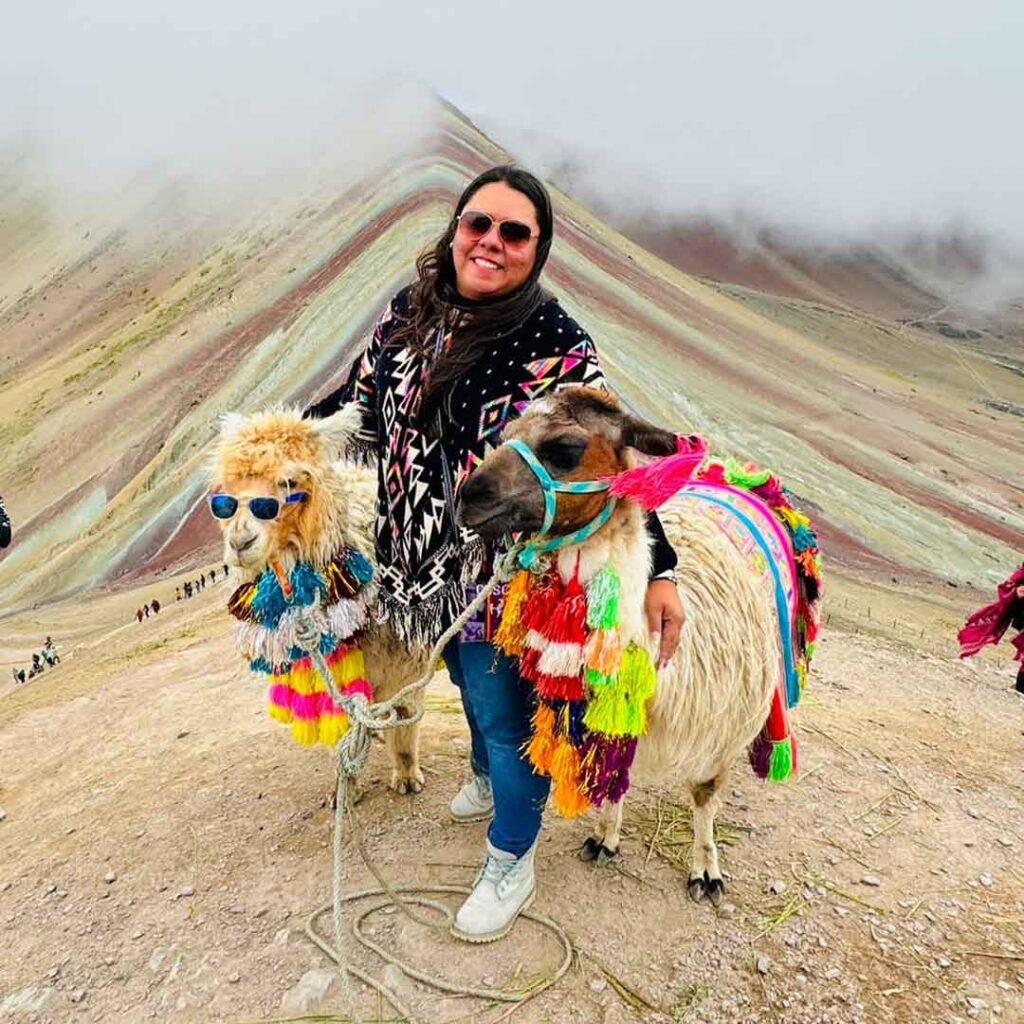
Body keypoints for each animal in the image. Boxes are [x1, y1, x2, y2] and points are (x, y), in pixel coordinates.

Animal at [209, 405, 429, 794]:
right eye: (226, 498)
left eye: (289, 482)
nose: (240, 542)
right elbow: (342, 726)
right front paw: (346, 787)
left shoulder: (406, 661)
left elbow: (405, 716)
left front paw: (406, 776)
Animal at [458, 387, 821, 903]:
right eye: (503, 434)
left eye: (564, 448)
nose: (470, 495)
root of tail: (734, 474)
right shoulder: (612, 707)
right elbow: (613, 776)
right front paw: (604, 839)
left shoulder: (721, 726)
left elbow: (705, 794)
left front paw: (706, 870)